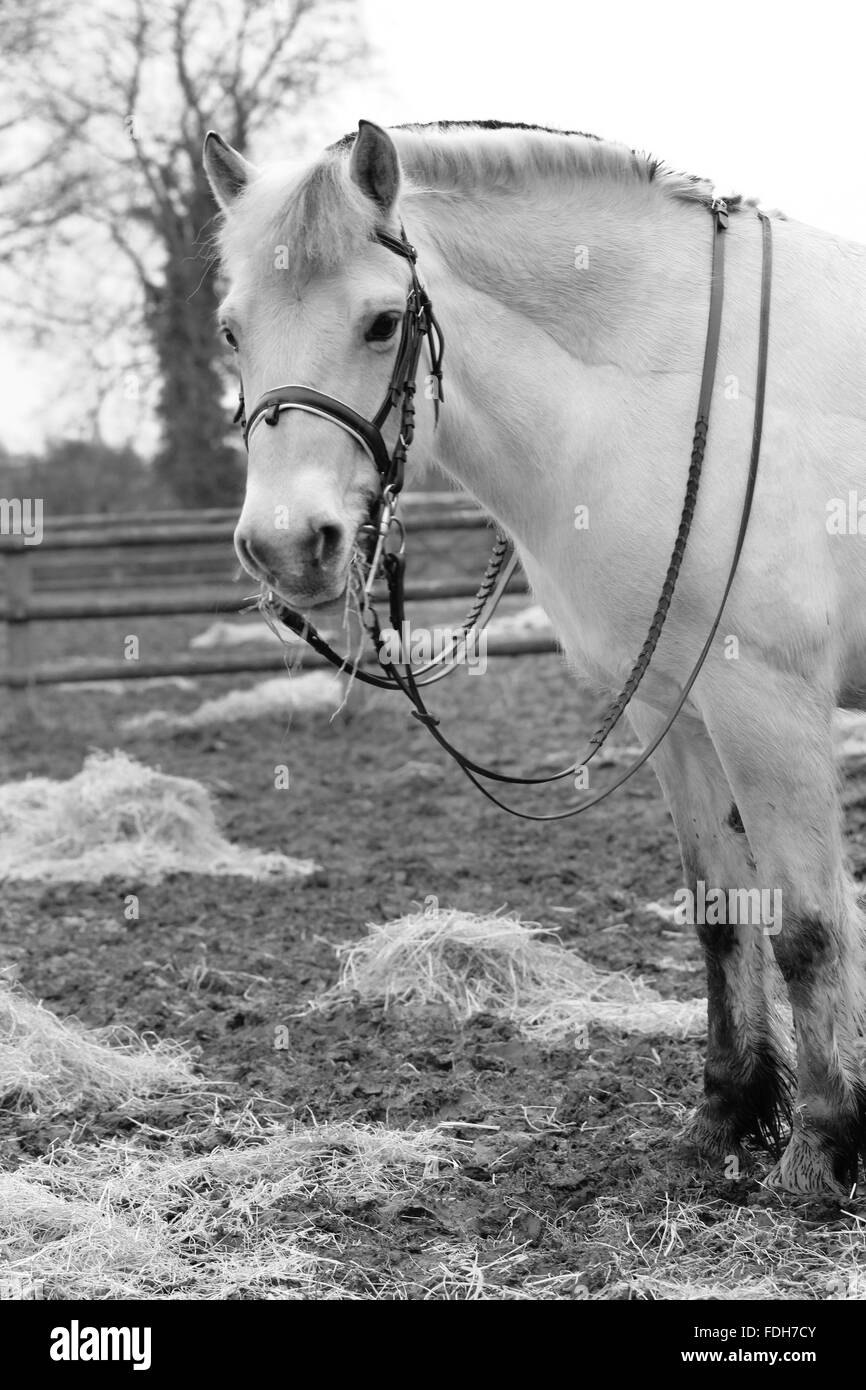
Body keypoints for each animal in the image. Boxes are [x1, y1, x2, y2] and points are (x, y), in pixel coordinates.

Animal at [204, 119, 866, 1200]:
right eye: (231, 331)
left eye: (380, 323)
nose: (287, 545)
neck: (679, 391)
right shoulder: (671, 708)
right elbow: (720, 912)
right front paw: (725, 1116)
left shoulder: (766, 702)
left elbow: (807, 924)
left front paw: (821, 1148)